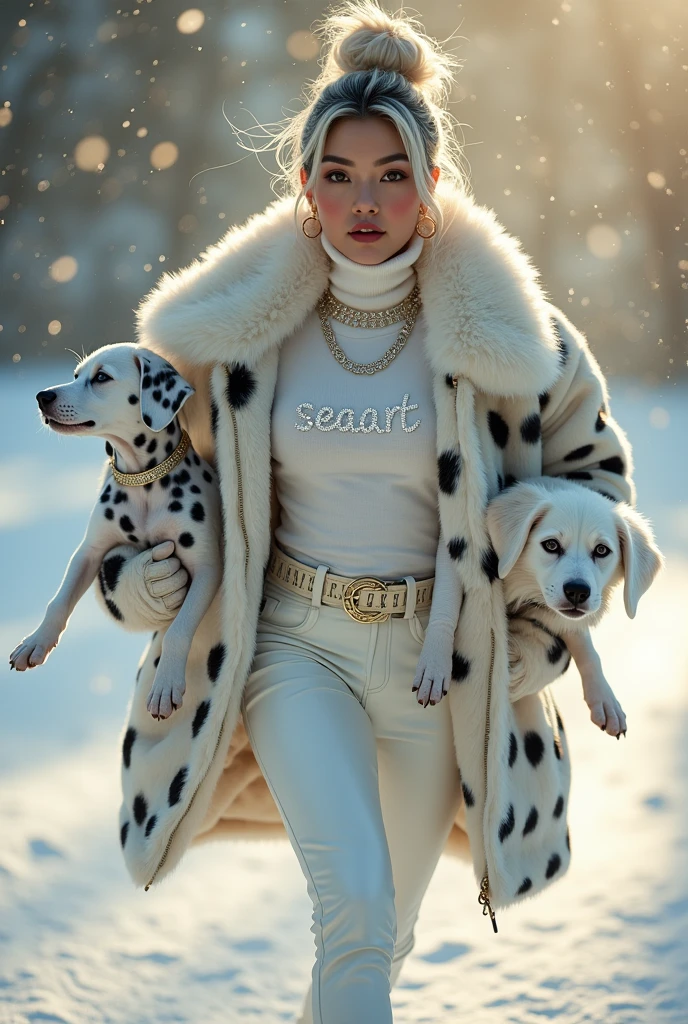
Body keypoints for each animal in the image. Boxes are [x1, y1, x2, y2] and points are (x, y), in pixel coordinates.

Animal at [9, 342, 222, 720]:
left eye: (102, 377)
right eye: (76, 375)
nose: (42, 396)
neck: (144, 482)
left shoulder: (206, 569)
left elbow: (178, 631)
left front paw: (165, 684)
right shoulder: (89, 552)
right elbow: (58, 601)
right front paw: (35, 641)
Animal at [487, 475, 663, 741]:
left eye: (601, 550)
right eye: (551, 545)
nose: (577, 592)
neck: (523, 589)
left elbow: (587, 648)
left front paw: (605, 699)